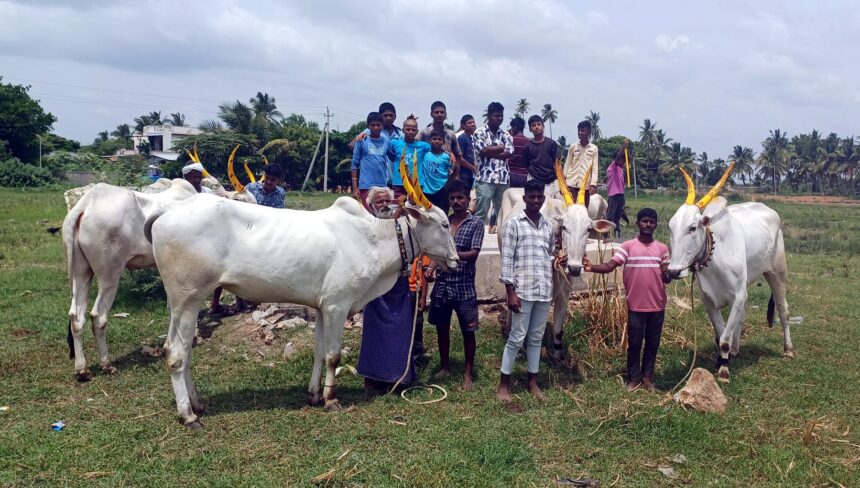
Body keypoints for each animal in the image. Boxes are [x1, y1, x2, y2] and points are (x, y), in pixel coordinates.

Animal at [668, 162, 796, 384]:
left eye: (692, 228)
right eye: (670, 227)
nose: (673, 271)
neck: (715, 257)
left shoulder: (737, 295)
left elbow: (725, 339)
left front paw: (724, 371)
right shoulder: (709, 300)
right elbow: (721, 335)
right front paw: (721, 360)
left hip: (778, 272)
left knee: (783, 311)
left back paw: (788, 349)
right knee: (743, 315)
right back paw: (736, 350)